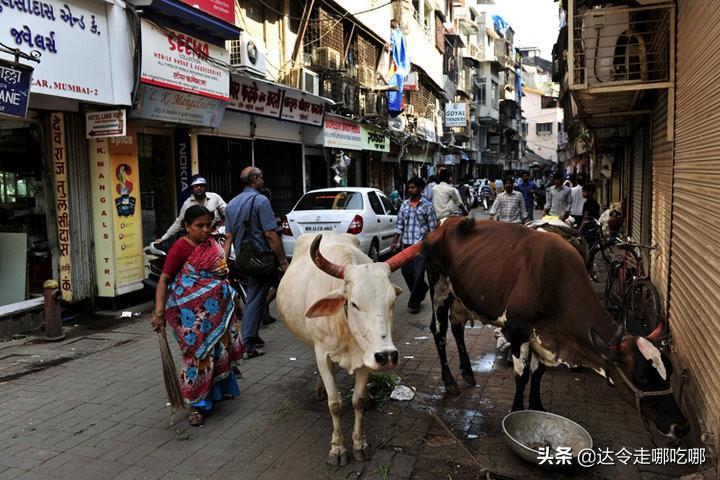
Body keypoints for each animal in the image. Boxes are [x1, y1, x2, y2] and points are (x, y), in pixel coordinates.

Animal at [278, 232, 422, 464]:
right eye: (354, 303)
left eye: (392, 301)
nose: (388, 356)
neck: (345, 325)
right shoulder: (323, 354)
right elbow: (335, 404)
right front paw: (337, 448)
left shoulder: (367, 356)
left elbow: (358, 401)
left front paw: (359, 444)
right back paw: (319, 389)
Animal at [424, 218, 688, 438]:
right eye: (642, 377)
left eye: (669, 371)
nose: (681, 426)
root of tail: (447, 223)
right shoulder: (518, 329)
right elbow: (522, 375)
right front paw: (516, 411)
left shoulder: (545, 336)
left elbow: (539, 372)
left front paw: (537, 406)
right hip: (439, 288)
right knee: (438, 331)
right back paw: (450, 381)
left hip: (461, 297)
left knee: (457, 328)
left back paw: (468, 373)